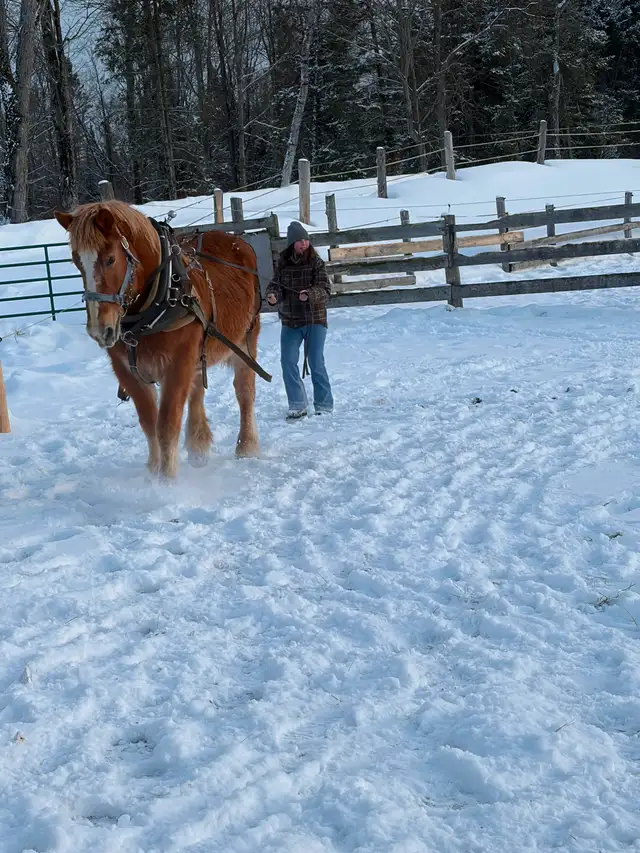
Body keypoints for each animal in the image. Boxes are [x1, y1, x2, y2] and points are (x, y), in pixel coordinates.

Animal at [54, 200, 268, 479]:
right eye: (76, 261)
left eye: (110, 259)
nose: (100, 330)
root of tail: (236, 241)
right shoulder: (127, 370)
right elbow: (149, 422)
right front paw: (154, 471)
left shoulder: (176, 366)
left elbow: (166, 424)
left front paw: (167, 481)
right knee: (197, 390)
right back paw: (198, 446)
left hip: (245, 339)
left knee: (244, 391)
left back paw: (246, 445)